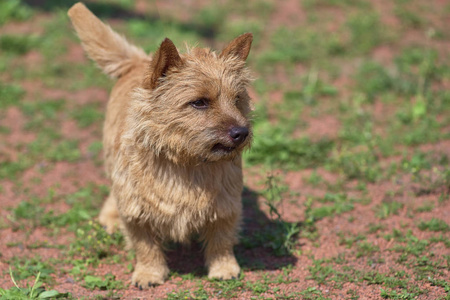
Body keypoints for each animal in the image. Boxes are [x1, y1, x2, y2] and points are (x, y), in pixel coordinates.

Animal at [67, 1, 253, 288]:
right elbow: (145, 245)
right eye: (199, 102)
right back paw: (110, 216)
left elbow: (221, 239)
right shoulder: (135, 211)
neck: (185, 164)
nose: (241, 132)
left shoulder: (226, 205)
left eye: (237, 100)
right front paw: (149, 273)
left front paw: (224, 268)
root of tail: (141, 61)